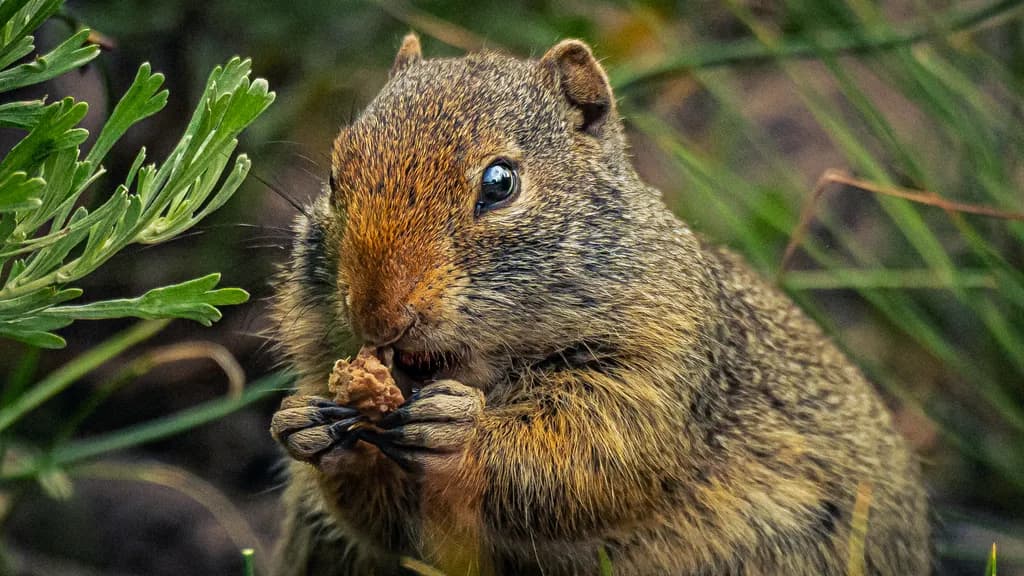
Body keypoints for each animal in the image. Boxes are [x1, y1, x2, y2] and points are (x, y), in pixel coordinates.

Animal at [268, 34, 930, 575]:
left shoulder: (661, 366)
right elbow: (392, 527)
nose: (378, 316)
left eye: (500, 183)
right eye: (334, 177)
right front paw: (308, 428)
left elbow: (594, 458)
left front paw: (462, 434)